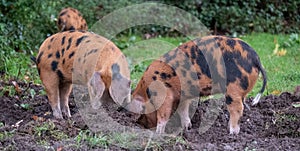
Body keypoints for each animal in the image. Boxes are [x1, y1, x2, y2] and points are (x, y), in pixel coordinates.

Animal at [131, 35, 268, 134]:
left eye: (142, 112)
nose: (142, 125)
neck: (146, 90)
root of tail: (256, 58)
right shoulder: (182, 96)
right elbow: (183, 110)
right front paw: (187, 127)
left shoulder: (163, 95)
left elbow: (163, 115)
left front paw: (158, 134)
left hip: (233, 88)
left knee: (238, 108)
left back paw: (232, 133)